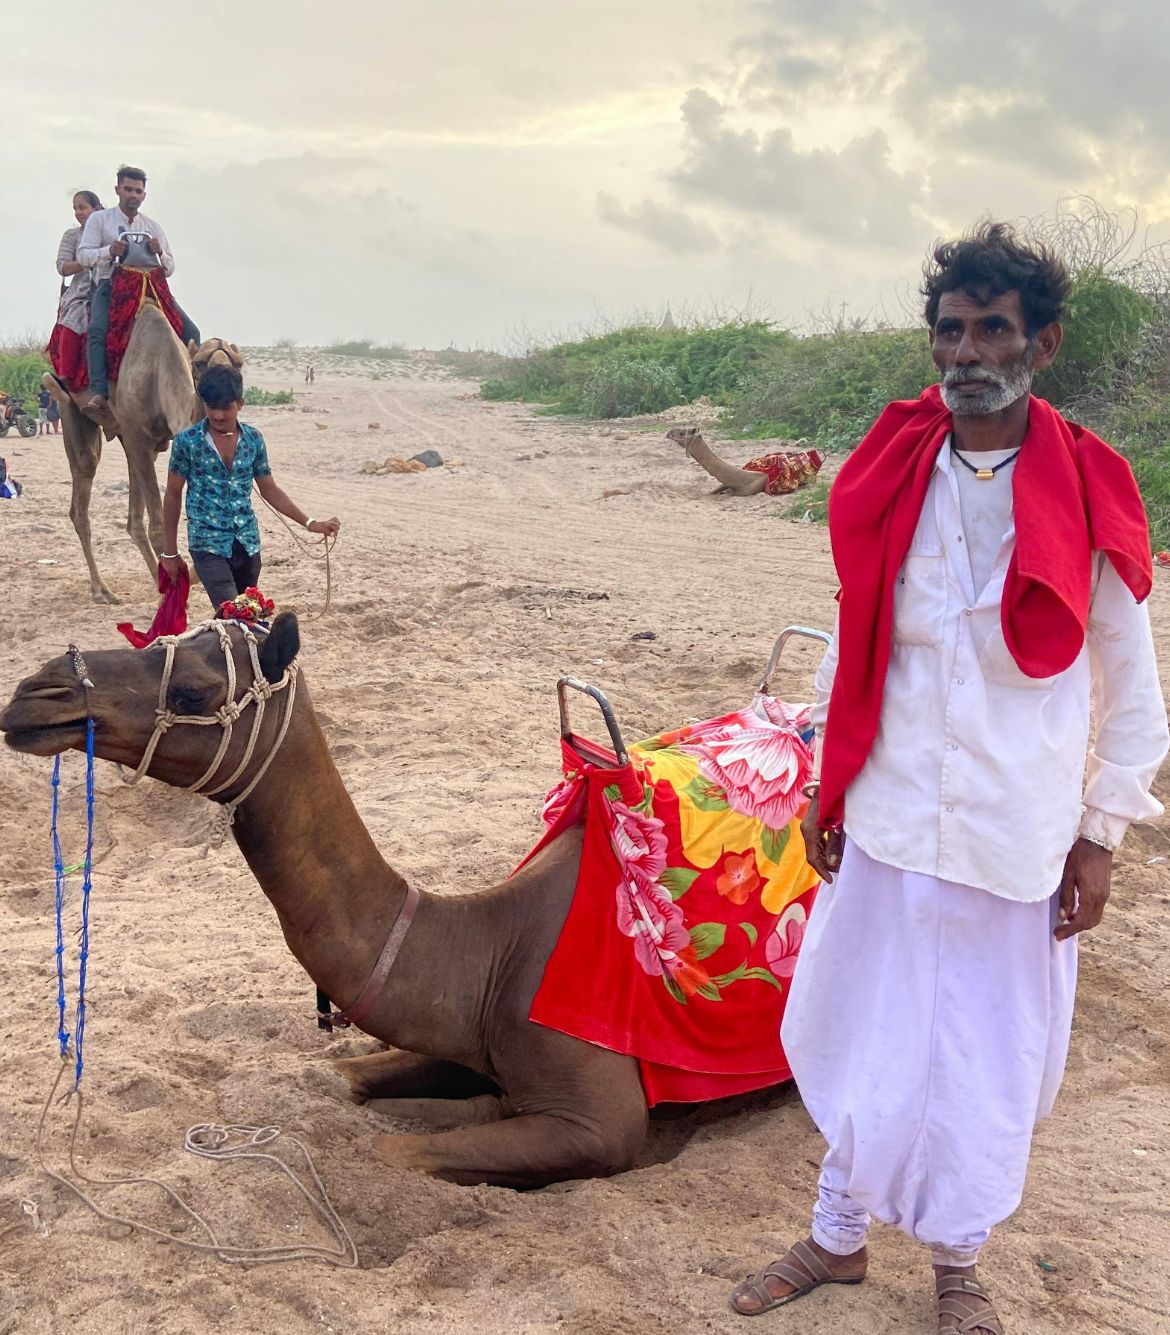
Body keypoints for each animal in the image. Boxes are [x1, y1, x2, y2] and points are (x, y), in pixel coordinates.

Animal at [0, 614, 643, 1190]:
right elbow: (337, 1080)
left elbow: (387, 1151)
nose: (34, 691)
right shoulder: (466, 1044)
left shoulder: (599, 1124)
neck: (490, 949)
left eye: (194, 688)